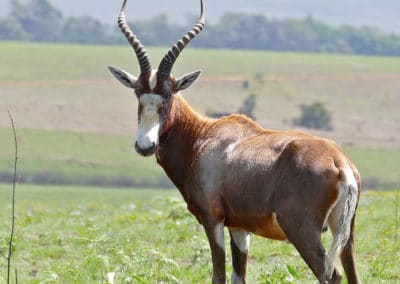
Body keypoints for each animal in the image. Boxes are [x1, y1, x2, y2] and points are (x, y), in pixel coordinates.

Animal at [108, 1, 362, 282]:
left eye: (168, 95)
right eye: (138, 94)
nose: (145, 145)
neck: (204, 136)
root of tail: (340, 163)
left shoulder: (213, 219)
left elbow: (218, 274)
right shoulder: (240, 227)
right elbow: (238, 276)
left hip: (301, 230)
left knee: (332, 274)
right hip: (345, 232)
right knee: (352, 272)